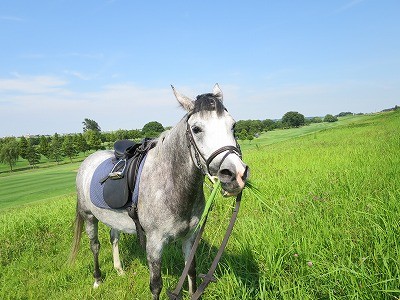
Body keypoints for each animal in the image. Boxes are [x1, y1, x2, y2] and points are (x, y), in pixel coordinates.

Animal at [70, 84, 248, 300]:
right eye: (196, 129)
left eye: (233, 126)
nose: (235, 175)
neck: (170, 184)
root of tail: (87, 161)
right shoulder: (154, 244)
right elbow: (156, 285)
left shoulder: (189, 237)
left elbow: (191, 271)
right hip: (89, 216)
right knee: (95, 246)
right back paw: (97, 279)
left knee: (114, 237)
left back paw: (119, 269)